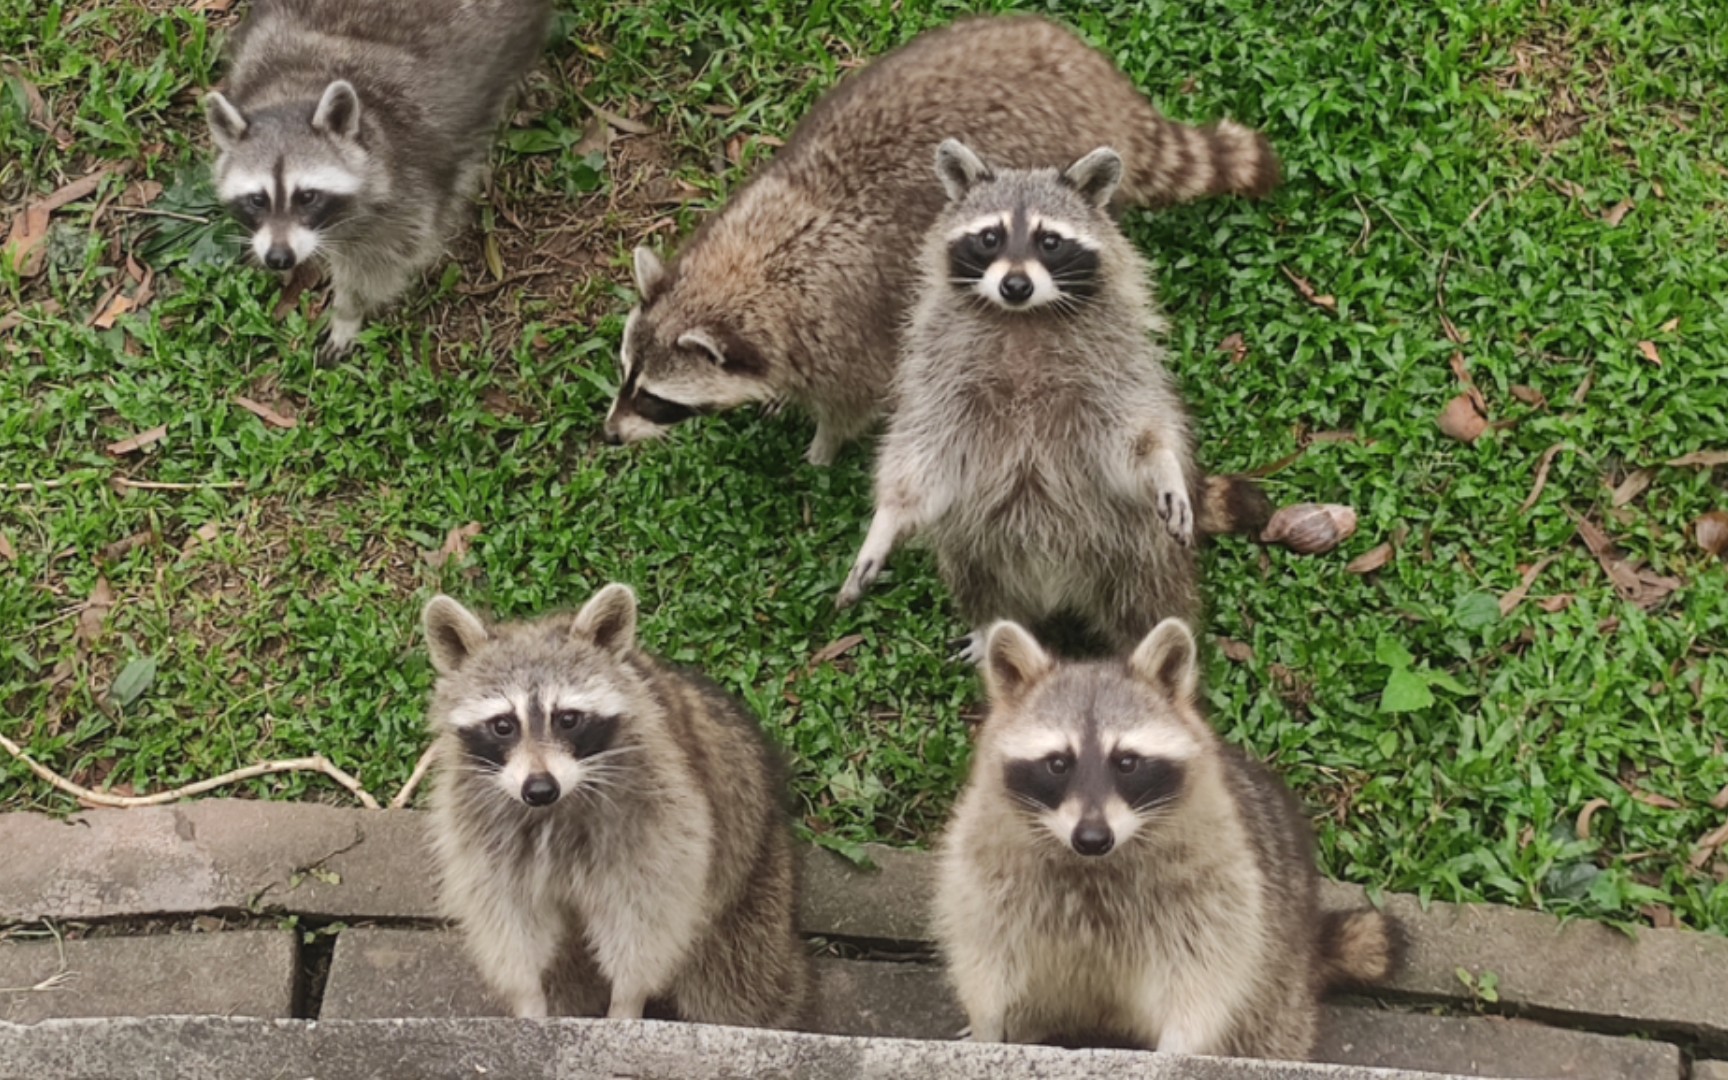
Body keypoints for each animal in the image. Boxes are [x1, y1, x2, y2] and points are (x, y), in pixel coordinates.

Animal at [205, 0, 549, 362]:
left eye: (307, 196)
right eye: (258, 199)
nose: (279, 257)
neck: (298, 90)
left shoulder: (406, 193)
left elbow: (375, 265)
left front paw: (347, 313)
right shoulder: (252, 60)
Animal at [601, 12, 1278, 466]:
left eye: (658, 401)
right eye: (625, 372)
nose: (608, 434)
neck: (755, 266)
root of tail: (1102, 86)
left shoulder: (846, 334)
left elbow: (855, 402)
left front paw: (822, 446)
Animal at [836, 139, 1271, 653]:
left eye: (1050, 241)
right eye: (990, 237)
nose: (1015, 286)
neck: (1023, 320)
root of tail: (1058, 590)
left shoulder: (1111, 365)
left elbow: (1137, 435)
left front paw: (1163, 463)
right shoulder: (939, 372)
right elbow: (922, 454)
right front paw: (886, 520)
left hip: (1137, 546)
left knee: (1149, 600)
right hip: (979, 547)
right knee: (977, 581)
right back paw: (990, 627)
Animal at [933, 618, 1403, 1057]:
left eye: (1126, 762)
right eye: (1058, 763)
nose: (1092, 837)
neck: (1095, 865)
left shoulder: (1215, 884)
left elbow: (1203, 979)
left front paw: (1180, 1045)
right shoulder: (987, 863)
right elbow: (985, 959)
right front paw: (987, 1025)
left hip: (1278, 989)